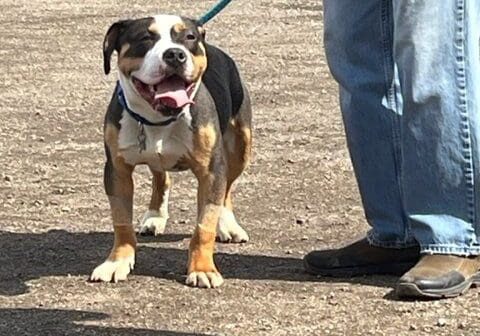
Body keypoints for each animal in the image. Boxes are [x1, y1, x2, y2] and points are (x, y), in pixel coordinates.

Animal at [90, 15, 253, 288]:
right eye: (145, 37)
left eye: (189, 37)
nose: (175, 54)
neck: (159, 118)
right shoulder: (117, 170)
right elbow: (121, 222)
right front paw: (117, 262)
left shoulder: (212, 170)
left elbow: (204, 225)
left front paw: (202, 269)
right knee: (161, 176)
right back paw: (155, 216)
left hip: (241, 144)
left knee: (227, 187)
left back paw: (228, 225)